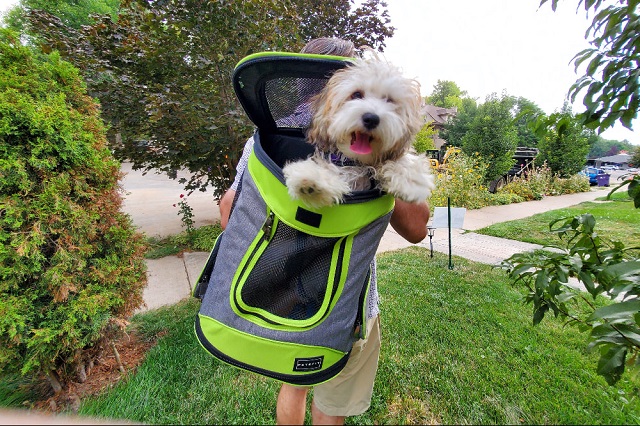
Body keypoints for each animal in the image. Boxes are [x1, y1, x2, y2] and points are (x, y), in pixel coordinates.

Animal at [284, 56, 438, 210]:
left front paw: (411, 181)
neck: (357, 162)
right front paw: (312, 179)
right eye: (356, 94)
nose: (371, 119)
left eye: (389, 100)